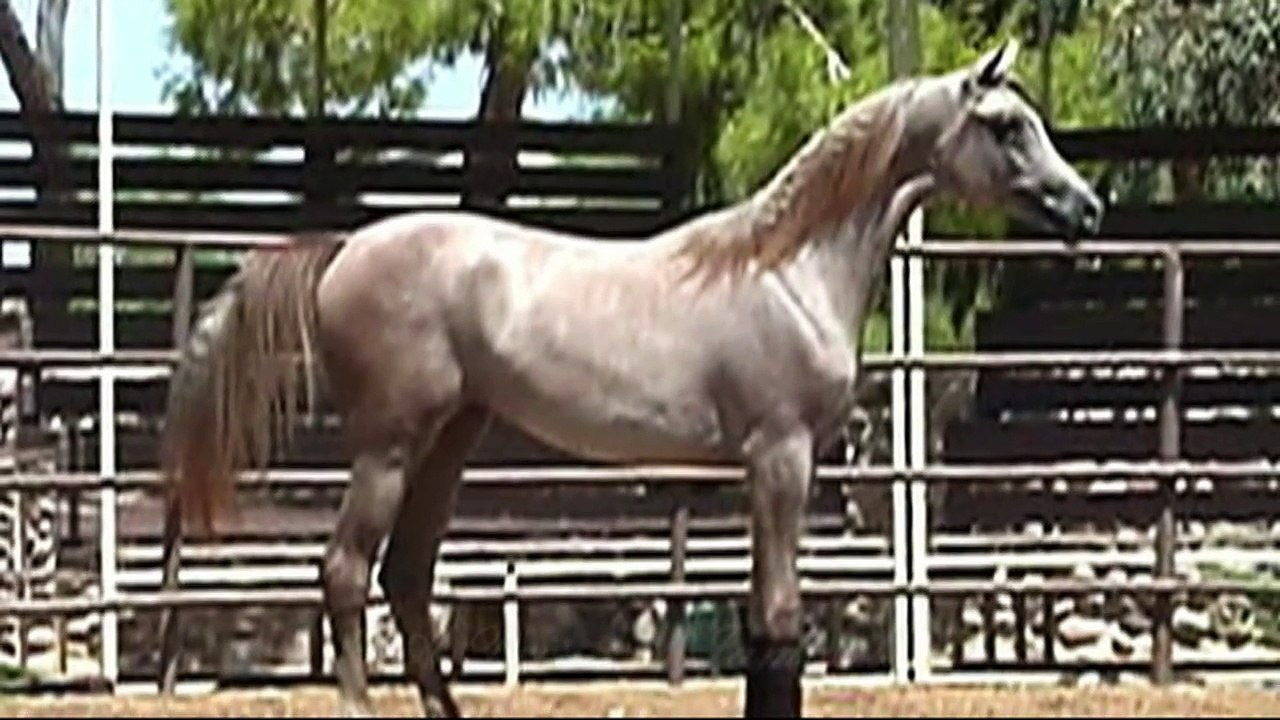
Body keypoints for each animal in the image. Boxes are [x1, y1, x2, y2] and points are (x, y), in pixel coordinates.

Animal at [158, 39, 1102, 718]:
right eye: (1006, 124)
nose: (1085, 209)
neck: (788, 270)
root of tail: (344, 247)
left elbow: (765, 619)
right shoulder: (781, 458)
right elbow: (781, 618)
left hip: (450, 440)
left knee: (407, 577)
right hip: (389, 446)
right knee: (348, 571)